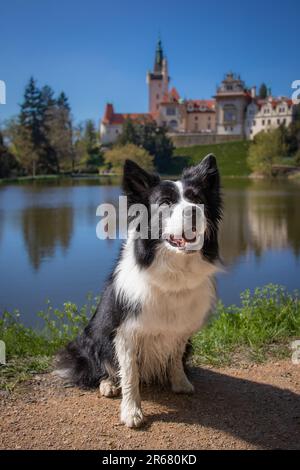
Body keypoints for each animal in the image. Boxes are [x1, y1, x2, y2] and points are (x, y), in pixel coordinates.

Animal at [56, 154, 223, 426]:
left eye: (198, 199)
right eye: (165, 203)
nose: (194, 211)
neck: (174, 270)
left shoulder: (181, 328)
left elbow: (175, 357)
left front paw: (179, 381)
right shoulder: (125, 333)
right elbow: (130, 375)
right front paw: (132, 412)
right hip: (95, 337)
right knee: (102, 367)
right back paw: (108, 385)